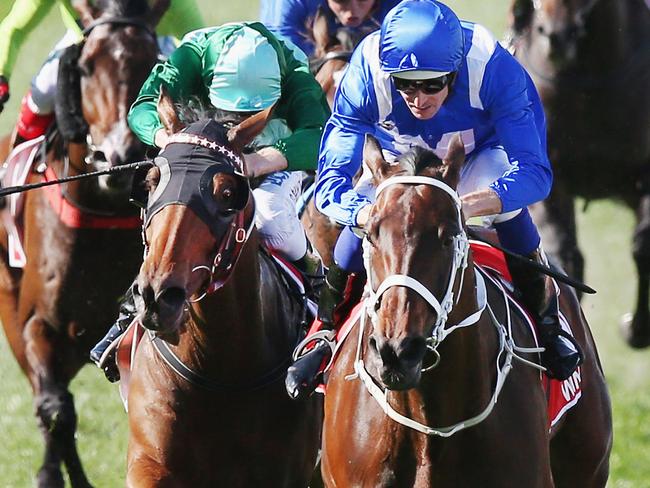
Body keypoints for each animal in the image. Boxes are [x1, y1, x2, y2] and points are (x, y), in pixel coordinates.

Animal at [0, 0, 167, 484]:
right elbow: (55, 410)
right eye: (88, 67)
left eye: (149, 62)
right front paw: (50, 474)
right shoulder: (35, 324)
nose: (119, 159)